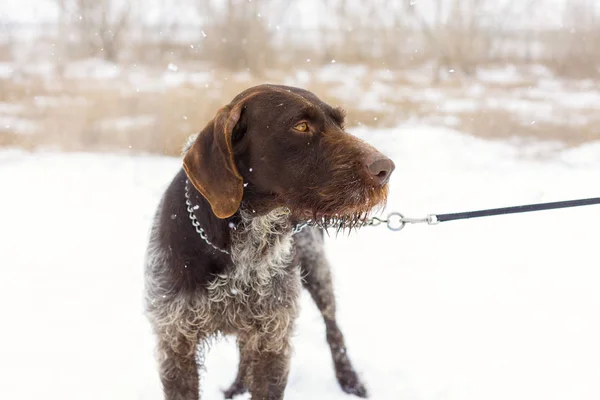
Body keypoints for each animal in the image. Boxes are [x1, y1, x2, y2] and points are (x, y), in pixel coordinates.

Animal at [144, 83, 396, 398]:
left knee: (333, 329)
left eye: (340, 123)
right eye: (301, 126)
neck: (242, 245)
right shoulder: (176, 343)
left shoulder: (273, 340)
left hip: (317, 271)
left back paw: (349, 380)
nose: (386, 168)